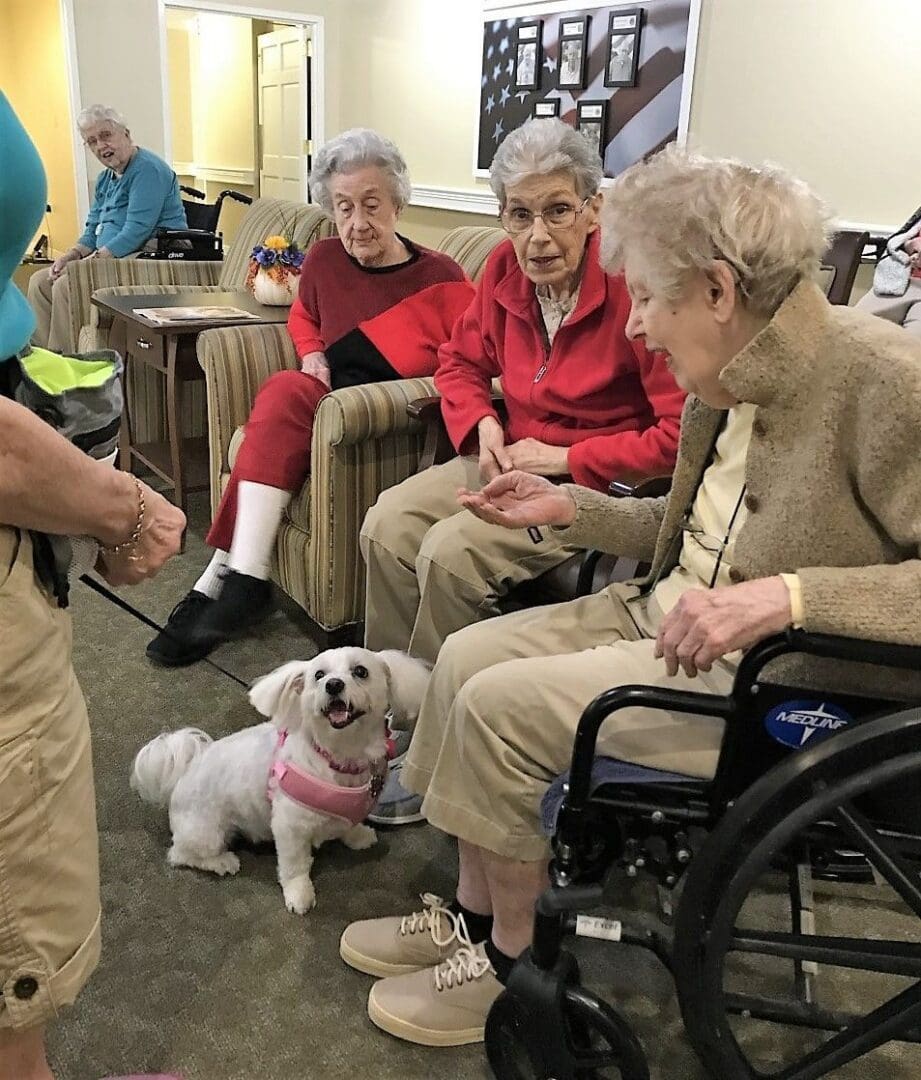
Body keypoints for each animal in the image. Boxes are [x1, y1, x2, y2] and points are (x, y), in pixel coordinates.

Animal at [132, 648, 431, 911]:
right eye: (319, 675)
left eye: (360, 671)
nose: (333, 685)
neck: (336, 757)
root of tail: (185, 771)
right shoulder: (290, 828)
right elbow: (295, 865)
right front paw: (299, 894)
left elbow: (349, 825)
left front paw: (358, 836)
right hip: (206, 832)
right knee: (181, 854)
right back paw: (223, 862)